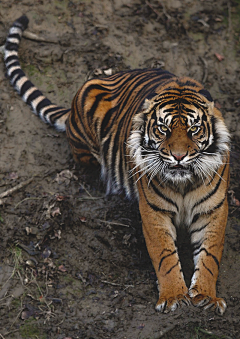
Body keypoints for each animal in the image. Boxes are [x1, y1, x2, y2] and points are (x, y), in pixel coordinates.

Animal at [4, 15, 231, 316]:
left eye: (194, 129)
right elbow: (165, 256)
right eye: (163, 128)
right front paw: (173, 296)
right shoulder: (154, 212)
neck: (183, 183)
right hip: (86, 136)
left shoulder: (214, 210)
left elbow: (210, 256)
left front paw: (205, 295)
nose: (179, 157)